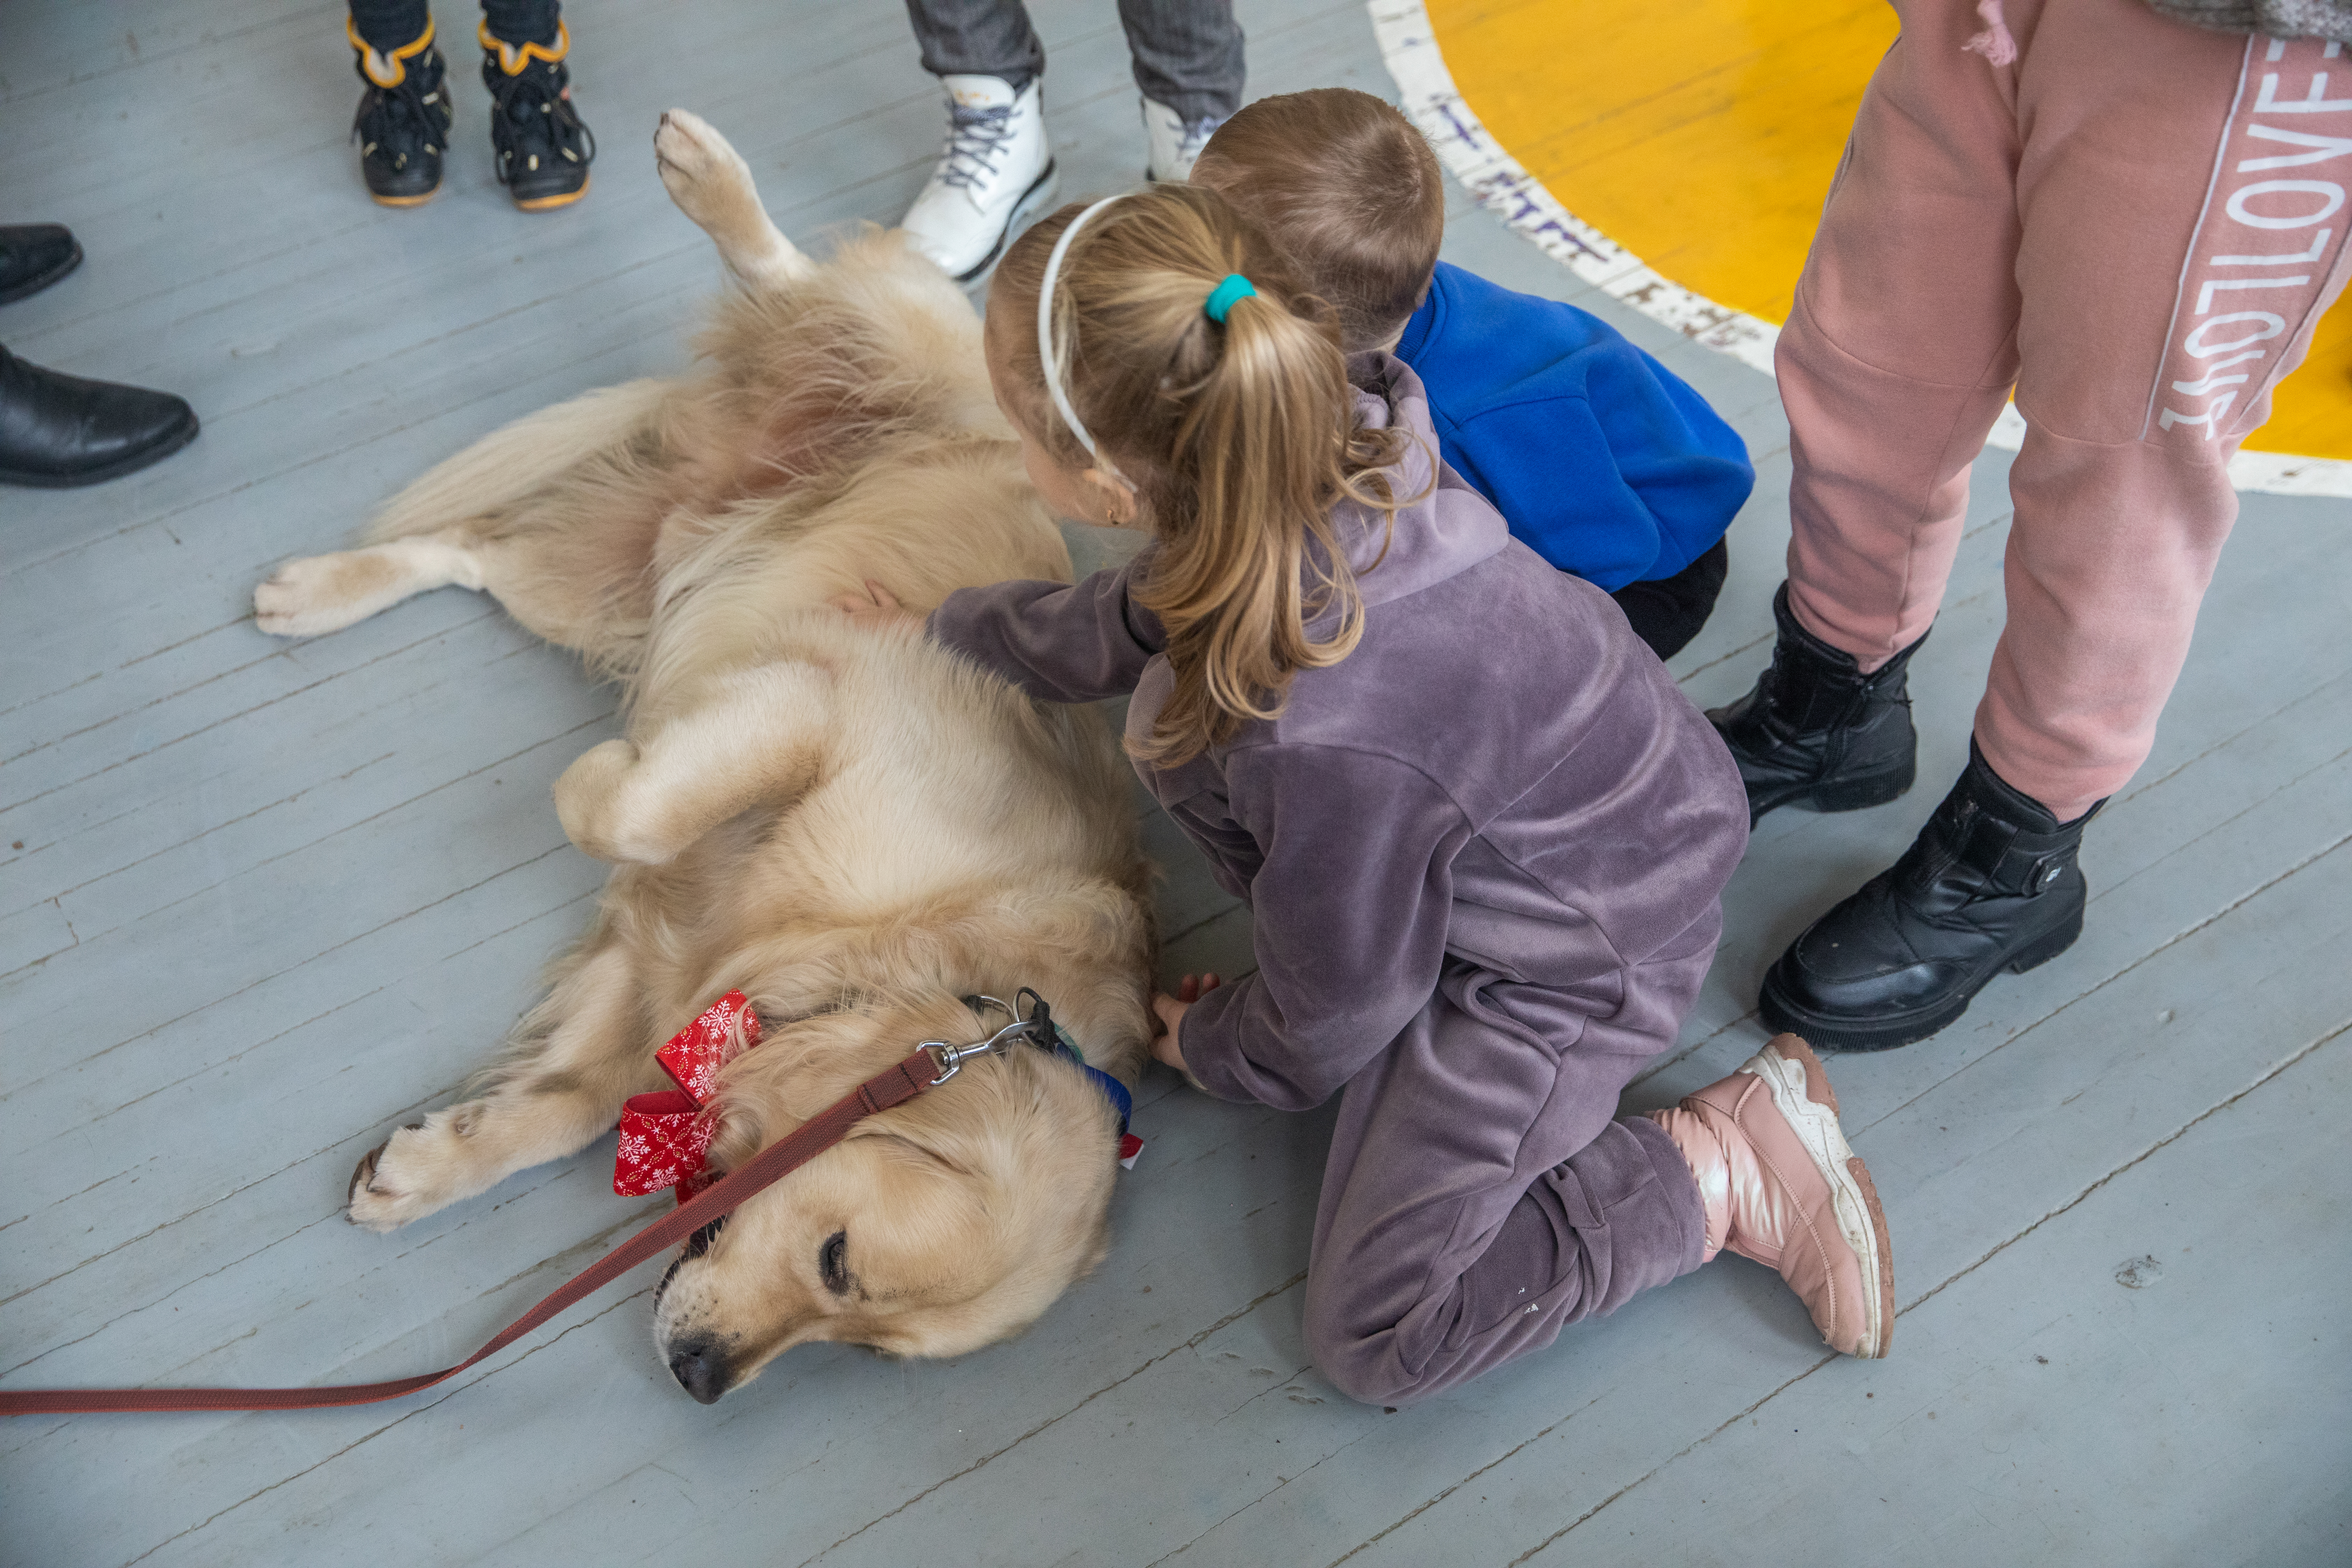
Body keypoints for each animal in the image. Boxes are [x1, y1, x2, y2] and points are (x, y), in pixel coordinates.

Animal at [250, 113, 1157, 1410]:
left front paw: (430, 1166)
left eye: (859, 1340)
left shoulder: (667, 963)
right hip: (916, 354)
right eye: (839, 1261)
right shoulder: (819, 702)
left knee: (468, 553)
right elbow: (627, 811)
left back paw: (314, 595)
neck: (919, 951)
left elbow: (574, 1105)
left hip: (606, 575)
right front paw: (595, 774)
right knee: (803, 280)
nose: (699, 1378)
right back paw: (709, 177)